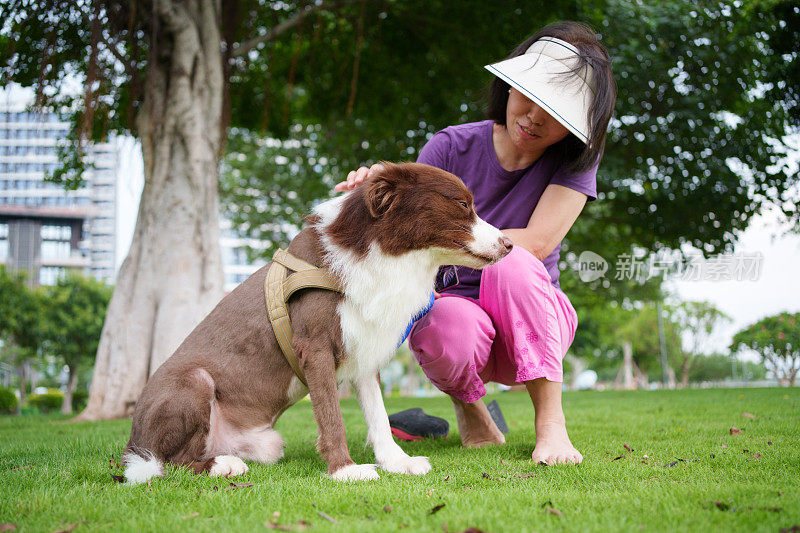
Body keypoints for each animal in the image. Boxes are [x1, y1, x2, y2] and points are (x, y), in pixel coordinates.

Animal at [125, 161, 512, 482]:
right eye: (462, 205)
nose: (509, 244)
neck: (376, 249)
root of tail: (133, 442)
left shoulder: (364, 346)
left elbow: (379, 415)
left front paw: (397, 462)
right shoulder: (315, 346)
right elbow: (331, 415)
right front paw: (345, 470)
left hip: (267, 443)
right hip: (193, 383)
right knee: (168, 462)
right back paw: (222, 466)